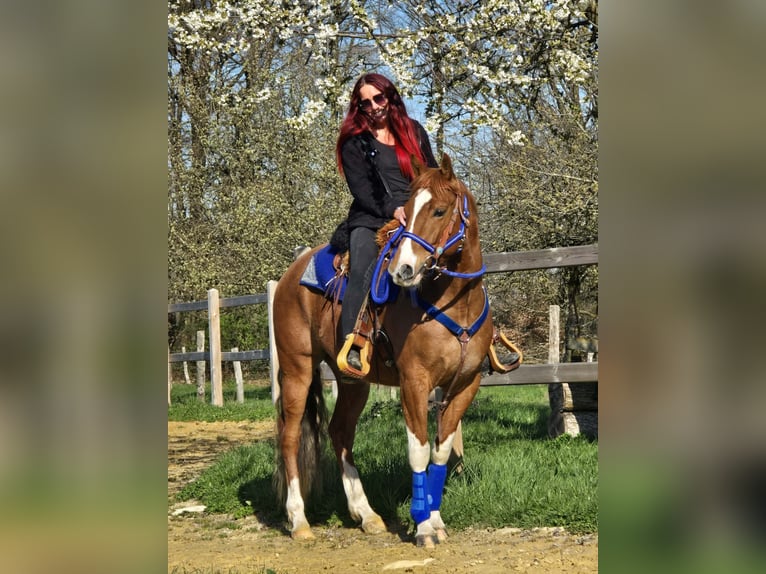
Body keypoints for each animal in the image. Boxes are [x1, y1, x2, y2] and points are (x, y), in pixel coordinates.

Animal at [272, 154, 503, 547]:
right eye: (405, 211)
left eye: (439, 210)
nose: (403, 270)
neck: (453, 304)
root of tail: (290, 275)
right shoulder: (414, 383)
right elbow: (419, 450)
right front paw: (422, 526)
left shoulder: (464, 385)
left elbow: (441, 451)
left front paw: (437, 521)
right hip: (297, 371)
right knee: (290, 437)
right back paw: (299, 520)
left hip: (353, 381)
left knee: (340, 433)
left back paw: (366, 514)